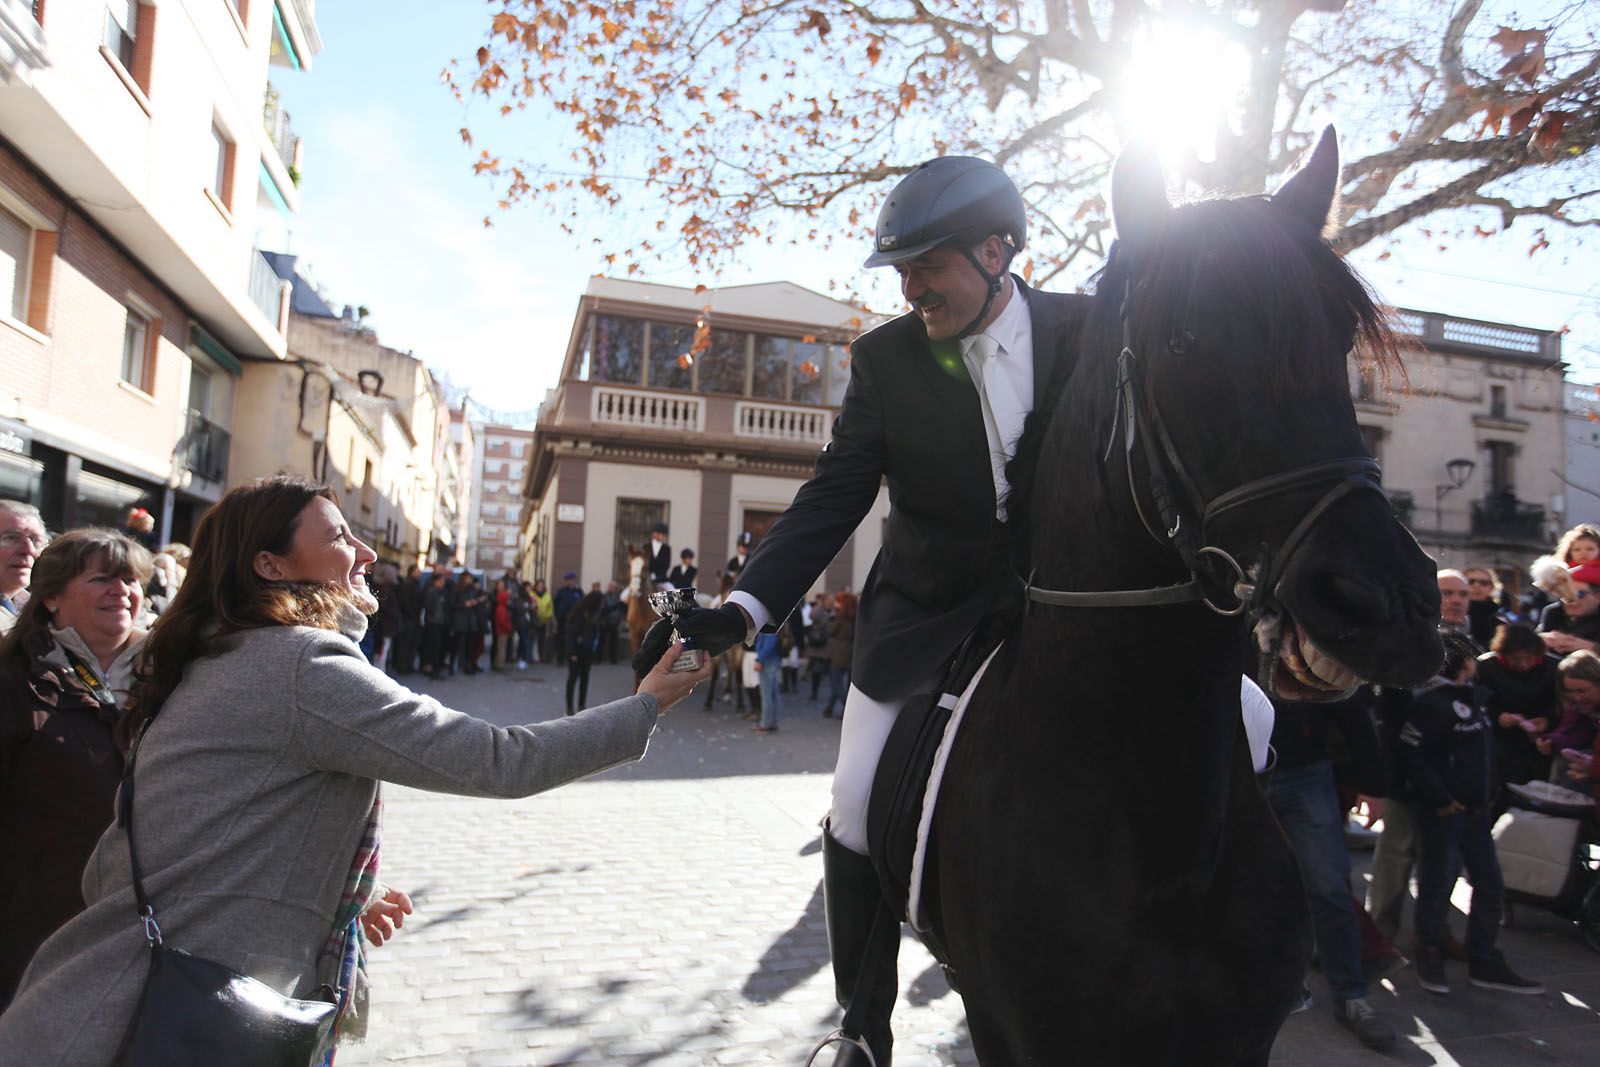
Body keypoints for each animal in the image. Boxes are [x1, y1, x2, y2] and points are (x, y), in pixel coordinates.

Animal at [925, 129, 1443, 1065]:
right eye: (1182, 341)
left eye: (1339, 336)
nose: (1391, 609)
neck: (1160, 836)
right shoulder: (1013, 1030)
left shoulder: (1234, 1035)